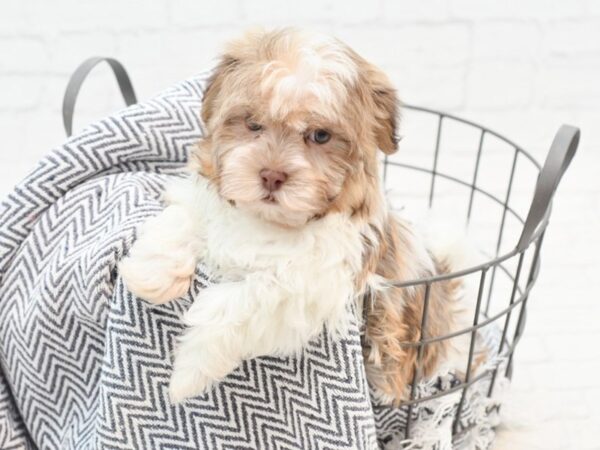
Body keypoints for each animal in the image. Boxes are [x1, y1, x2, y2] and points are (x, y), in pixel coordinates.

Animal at [119, 28, 462, 402]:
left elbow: (247, 299)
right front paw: (150, 274)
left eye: (321, 136)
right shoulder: (205, 200)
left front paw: (187, 374)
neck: (269, 221)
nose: (271, 175)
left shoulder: (314, 283)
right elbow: (184, 217)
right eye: (253, 124)